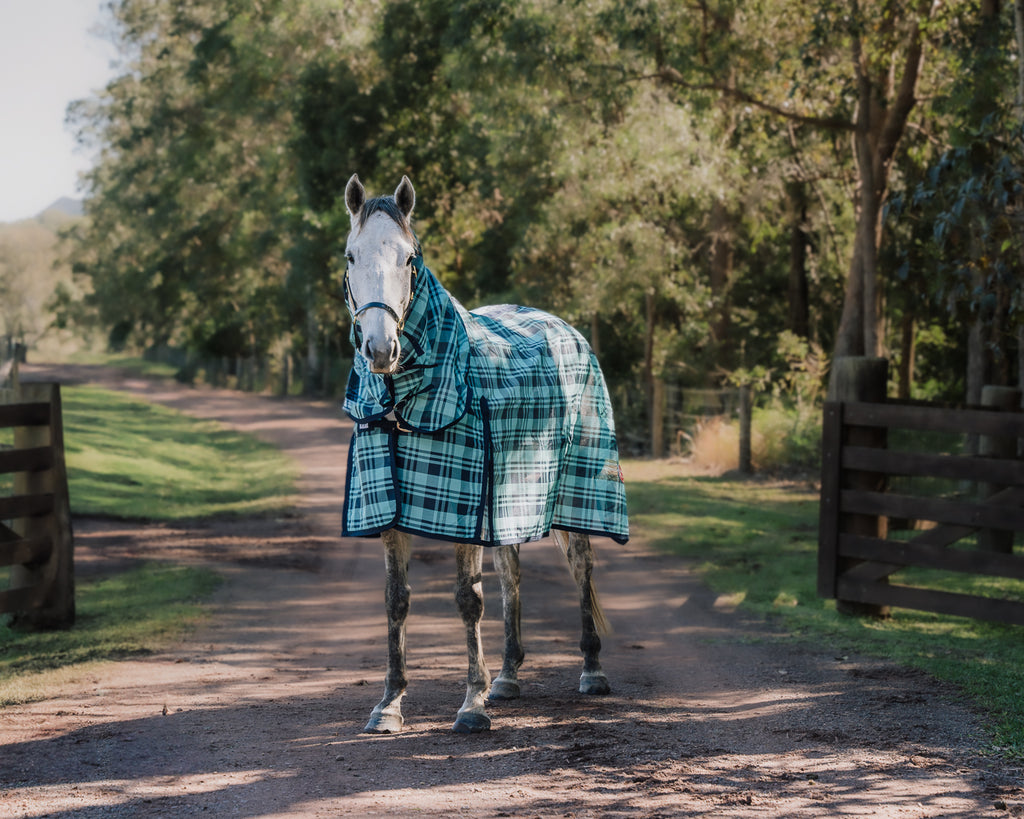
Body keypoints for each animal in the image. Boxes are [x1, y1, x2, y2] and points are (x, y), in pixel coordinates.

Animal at [341, 174, 628, 734]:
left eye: (409, 258)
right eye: (350, 256)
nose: (380, 350)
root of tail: (565, 327)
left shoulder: (462, 507)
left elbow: (467, 600)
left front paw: (471, 705)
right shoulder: (393, 507)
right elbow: (396, 600)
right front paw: (389, 704)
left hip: (578, 492)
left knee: (581, 568)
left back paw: (592, 671)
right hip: (508, 500)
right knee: (511, 576)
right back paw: (508, 677)